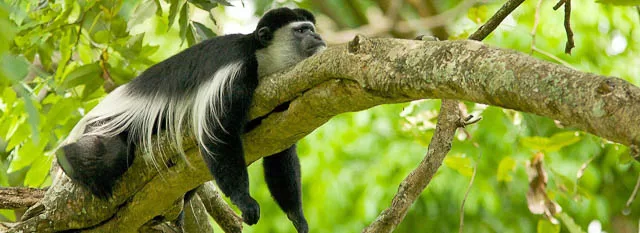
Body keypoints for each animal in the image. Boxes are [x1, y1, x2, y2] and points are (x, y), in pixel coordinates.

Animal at [55, 7, 324, 233]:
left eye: (312, 28)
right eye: (302, 30)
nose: (318, 37)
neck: (261, 59)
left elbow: (280, 151)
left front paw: (297, 218)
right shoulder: (234, 74)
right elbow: (218, 136)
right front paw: (245, 202)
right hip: (108, 124)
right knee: (111, 153)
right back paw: (67, 160)